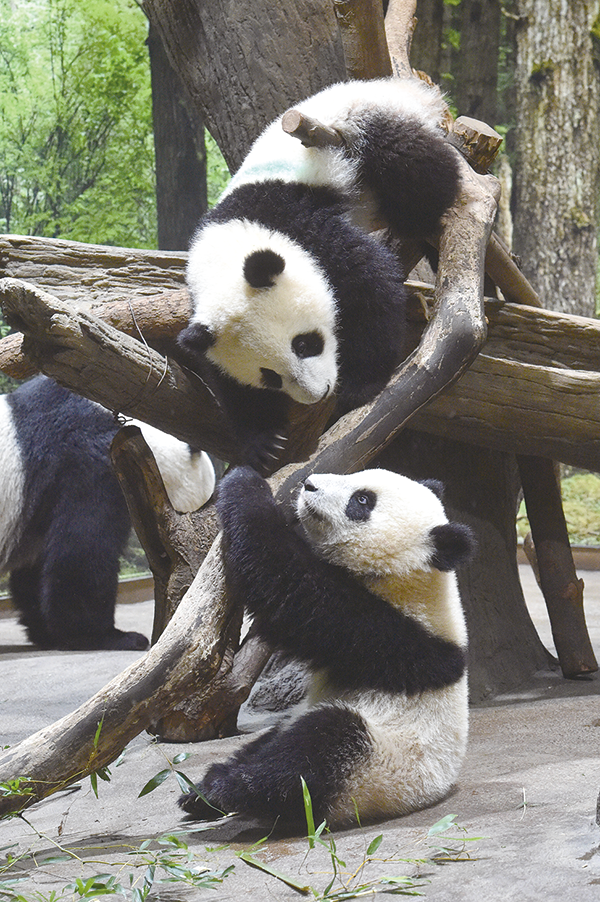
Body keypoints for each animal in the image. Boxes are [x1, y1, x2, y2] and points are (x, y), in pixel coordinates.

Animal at [177, 78, 460, 476]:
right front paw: (264, 442)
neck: (229, 242)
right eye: (269, 376)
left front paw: (361, 385)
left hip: (364, 121)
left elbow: (368, 278)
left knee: (414, 166)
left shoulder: (296, 219)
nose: (319, 393)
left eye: (304, 344)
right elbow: (226, 381)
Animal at [178, 466, 474, 828]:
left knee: (319, 747)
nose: (309, 484)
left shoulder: (388, 635)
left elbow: (284, 581)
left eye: (362, 500)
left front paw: (246, 484)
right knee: (271, 739)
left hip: (382, 764)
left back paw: (230, 788)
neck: (413, 579)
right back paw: (201, 793)